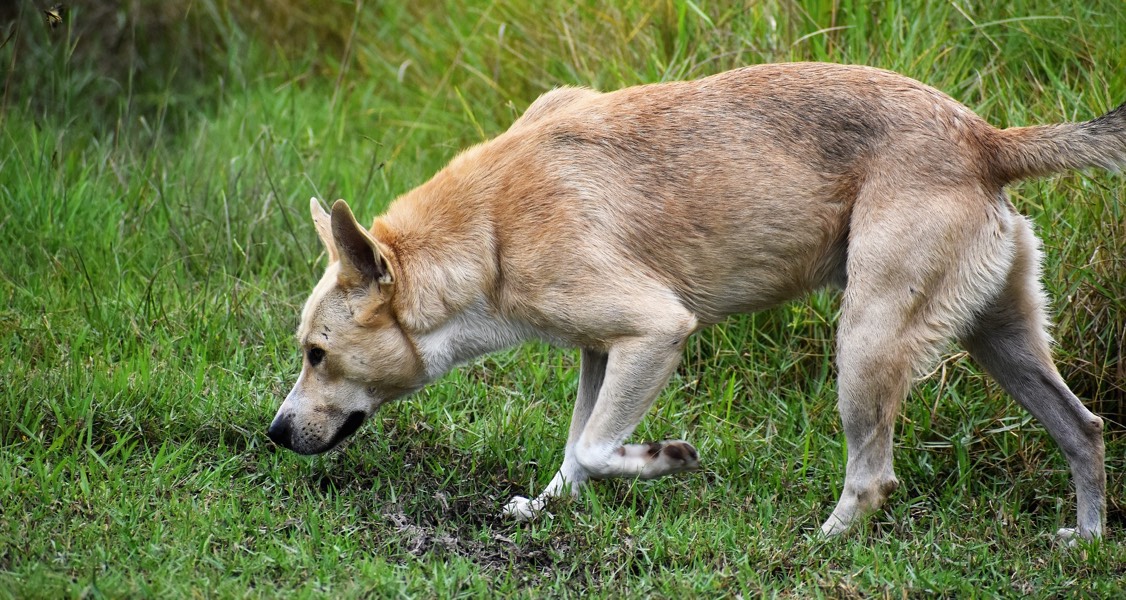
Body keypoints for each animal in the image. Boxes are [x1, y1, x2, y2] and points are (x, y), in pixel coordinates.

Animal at [263, 64, 1116, 538]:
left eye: (317, 354)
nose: (273, 433)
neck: (492, 228)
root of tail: (986, 139)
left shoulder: (657, 330)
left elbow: (596, 448)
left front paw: (660, 459)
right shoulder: (601, 353)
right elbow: (575, 449)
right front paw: (547, 509)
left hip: (865, 346)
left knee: (873, 478)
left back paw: (821, 543)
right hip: (1000, 341)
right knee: (1085, 430)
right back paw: (1087, 539)